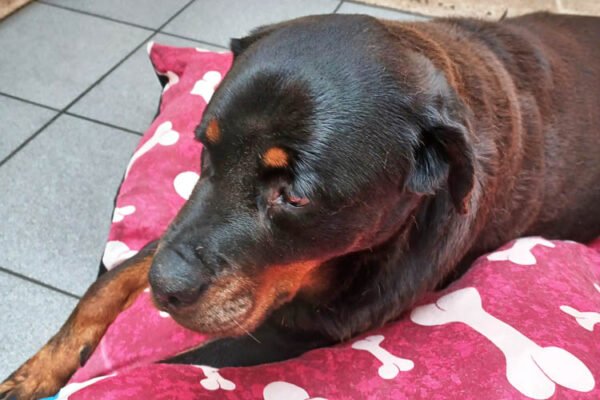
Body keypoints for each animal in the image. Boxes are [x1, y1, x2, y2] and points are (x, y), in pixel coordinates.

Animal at [2, 11, 600, 399]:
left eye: (295, 194)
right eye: (204, 146)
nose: (165, 288)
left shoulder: (298, 332)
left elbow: (190, 359)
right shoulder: (184, 229)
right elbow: (108, 283)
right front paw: (37, 370)